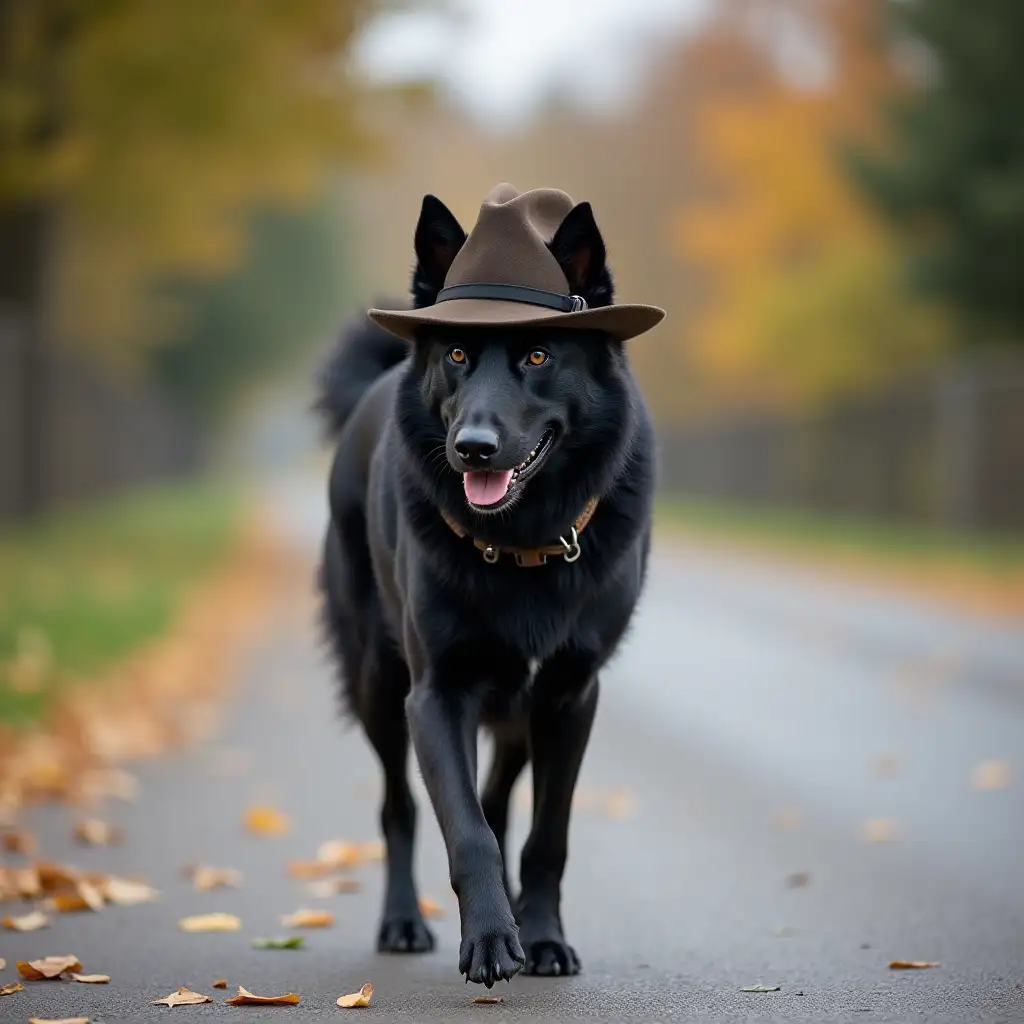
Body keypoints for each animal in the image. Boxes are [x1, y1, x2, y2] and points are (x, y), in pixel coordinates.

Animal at [317, 190, 655, 983]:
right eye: (458, 355)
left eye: (537, 355)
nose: (472, 448)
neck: (523, 541)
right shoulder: (436, 695)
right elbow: (465, 828)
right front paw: (491, 938)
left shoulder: (568, 697)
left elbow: (545, 834)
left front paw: (542, 938)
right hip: (380, 683)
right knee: (401, 807)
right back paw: (403, 922)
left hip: (517, 712)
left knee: (499, 798)